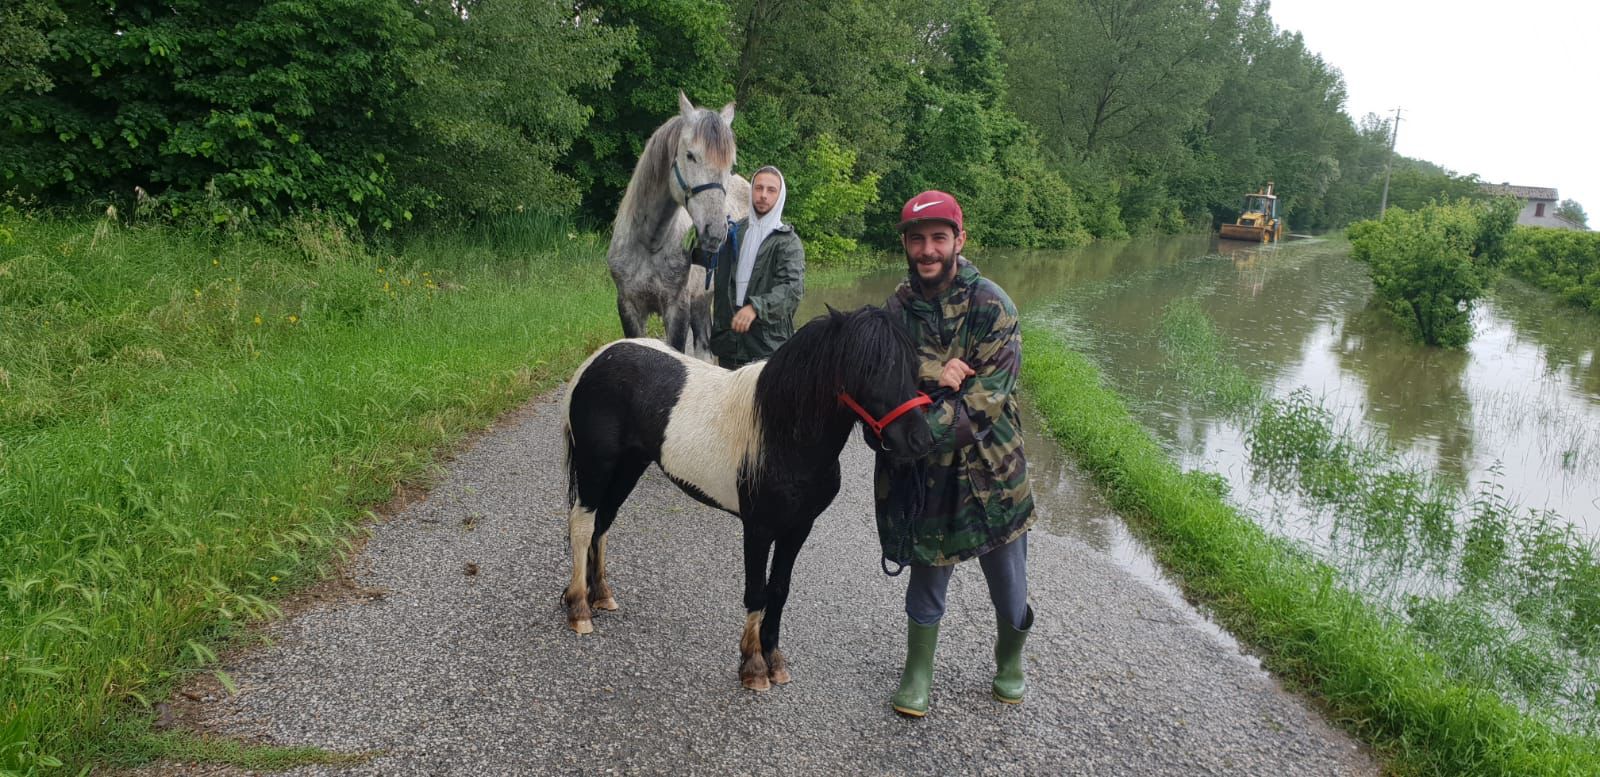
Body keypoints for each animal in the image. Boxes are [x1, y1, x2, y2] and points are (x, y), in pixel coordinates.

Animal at [563, 306, 934, 687]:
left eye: (912, 365)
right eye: (869, 367)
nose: (919, 441)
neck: (781, 436)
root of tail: (599, 359)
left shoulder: (799, 527)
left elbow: (779, 589)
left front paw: (774, 659)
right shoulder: (759, 528)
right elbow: (757, 592)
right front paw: (754, 667)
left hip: (629, 466)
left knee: (603, 523)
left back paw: (601, 595)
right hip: (597, 466)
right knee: (582, 525)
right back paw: (578, 609)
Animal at [604, 92, 748, 359]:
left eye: (730, 164)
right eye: (690, 155)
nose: (715, 232)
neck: (650, 242)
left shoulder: (677, 308)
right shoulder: (628, 305)